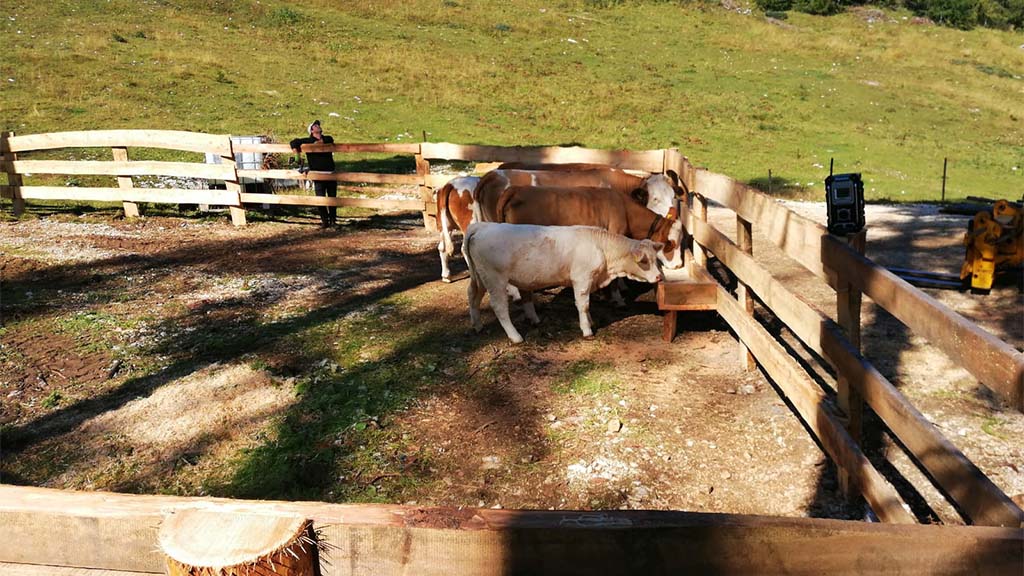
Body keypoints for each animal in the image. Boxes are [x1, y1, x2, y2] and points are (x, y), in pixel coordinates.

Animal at [464, 222, 663, 342]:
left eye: (656, 259)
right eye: (644, 261)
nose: (659, 277)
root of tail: (482, 226)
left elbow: (586, 305)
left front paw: (590, 322)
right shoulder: (581, 279)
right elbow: (583, 305)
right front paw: (587, 330)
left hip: (479, 278)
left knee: (473, 296)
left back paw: (477, 325)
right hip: (495, 280)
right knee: (499, 307)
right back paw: (515, 336)